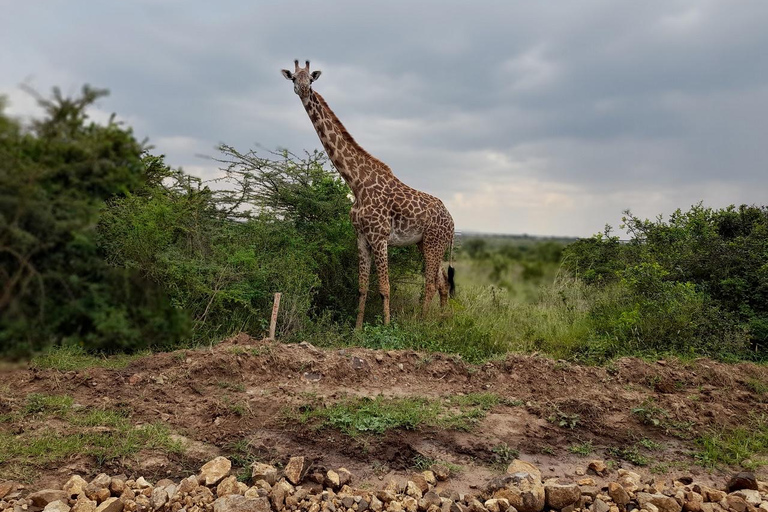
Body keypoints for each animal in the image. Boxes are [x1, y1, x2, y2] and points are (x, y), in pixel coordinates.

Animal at [282, 60, 456, 328]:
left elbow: (384, 288)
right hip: (424, 244)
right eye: (293, 78)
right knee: (442, 283)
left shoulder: (380, 236)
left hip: (434, 244)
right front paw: (356, 330)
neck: (356, 183)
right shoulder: (362, 237)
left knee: (429, 285)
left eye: (310, 79)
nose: (302, 90)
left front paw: (385, 327)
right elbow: (362, 287)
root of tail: (453, 222)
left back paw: (423, 324)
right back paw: (442, 321)